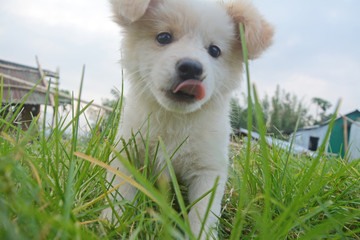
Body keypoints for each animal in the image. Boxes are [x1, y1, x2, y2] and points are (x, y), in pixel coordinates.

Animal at [102, 0, 272, 237]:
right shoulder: (127, 149)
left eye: (214, 50)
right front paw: (112, 223)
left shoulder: (209, 169)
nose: (191, 67)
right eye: (164, 37)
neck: (175, 119)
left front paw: (201, 235)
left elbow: (203, 212)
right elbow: (120, 189)